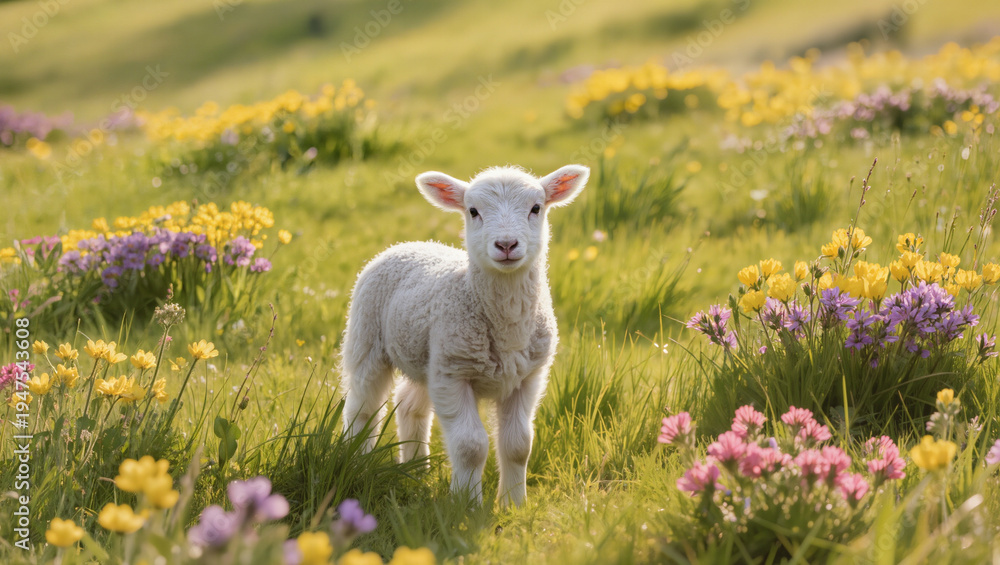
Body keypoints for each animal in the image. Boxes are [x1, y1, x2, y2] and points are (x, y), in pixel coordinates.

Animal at [340, 164, 589, 507]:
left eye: (536, 208)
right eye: (473, 211)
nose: (507, 245)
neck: (507, 329)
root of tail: (410, 244)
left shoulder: (527, 377)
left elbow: (518, 444)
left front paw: (513, 503)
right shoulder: (453, 374)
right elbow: (470, 446)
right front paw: (466, 504)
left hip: (425, 355)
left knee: (408, 404)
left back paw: (416, 469)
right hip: (367, 338)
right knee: (361, 409)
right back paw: (358, 463)